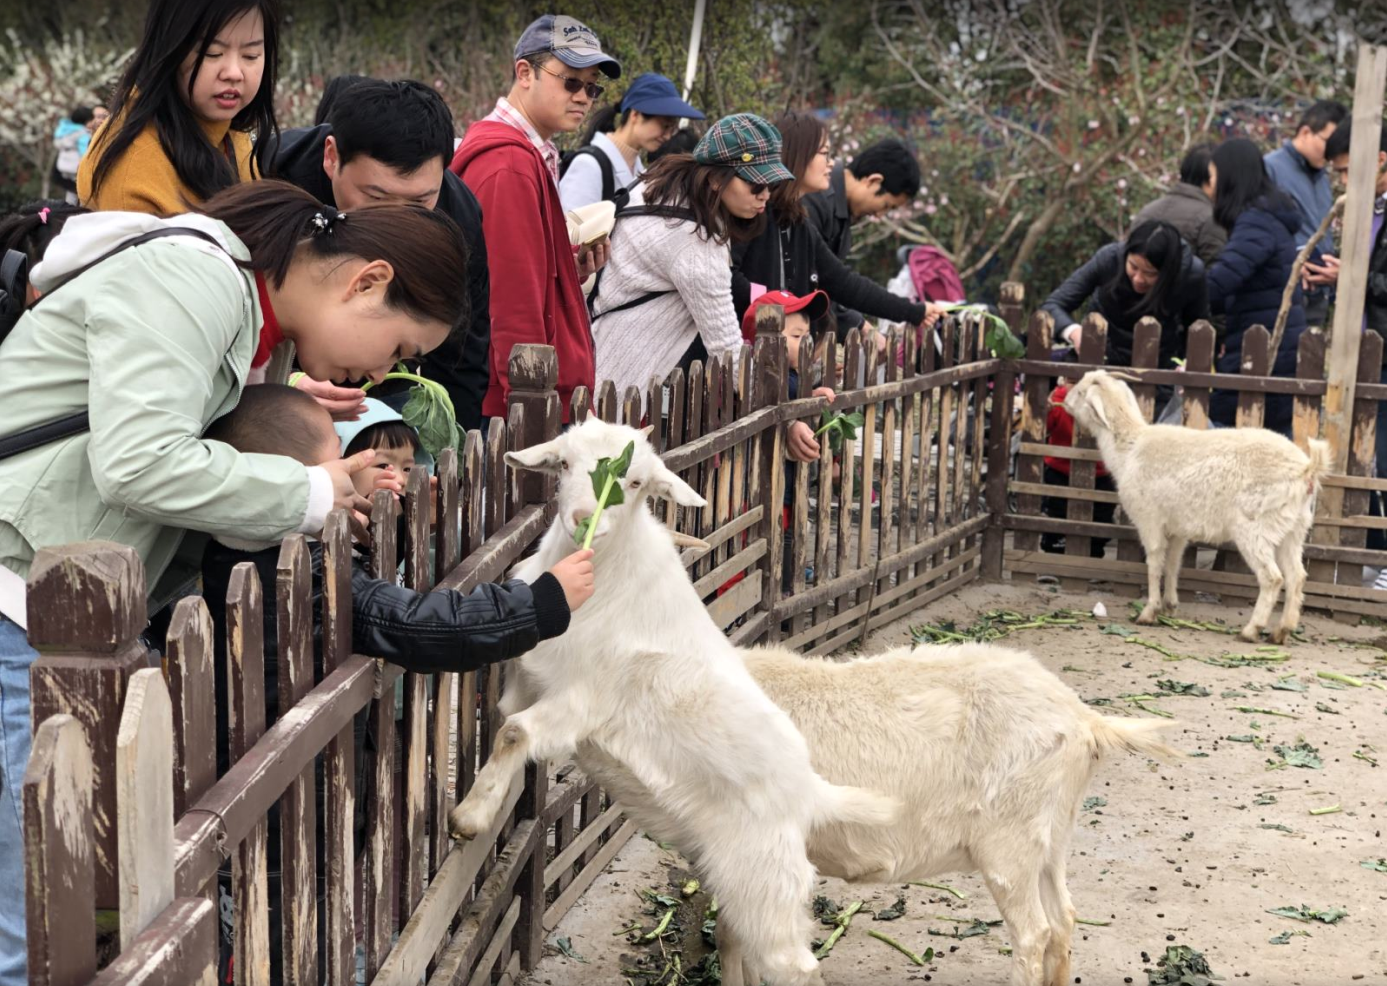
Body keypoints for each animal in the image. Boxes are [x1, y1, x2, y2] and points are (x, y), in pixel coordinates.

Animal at [446, 418, 898, 986]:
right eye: (564, 464)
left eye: (637, 483)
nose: (583, 520)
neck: (604, 580)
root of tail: (812, 792)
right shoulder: (532, 677)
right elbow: (505, 716)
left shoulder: (585, 697)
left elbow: (516, 730)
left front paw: (470, 818)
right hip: (732, 875)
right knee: (738, 939)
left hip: (766, 877)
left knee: (795, 965)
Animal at [1059, 366, 1331, 643]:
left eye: (1081, 392)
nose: (1064, 400)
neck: (1129, 448)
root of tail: (1307, 469)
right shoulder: (1178, 528)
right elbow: (1173, 563)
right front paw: (1170, 605)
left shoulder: (1150, 520)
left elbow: (1154, 562)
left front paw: (1149, 611)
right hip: (1293, 528)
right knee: (1297, 576)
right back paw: (1281, 631)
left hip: (1255, 527)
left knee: (1273, 578)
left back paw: (1251, 630)